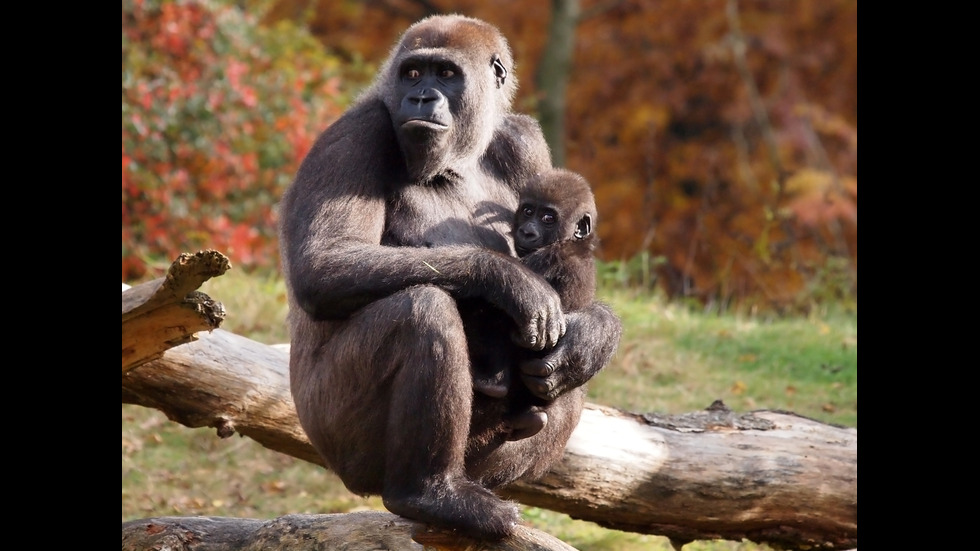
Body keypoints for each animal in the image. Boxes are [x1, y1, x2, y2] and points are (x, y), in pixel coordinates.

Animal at [470, 168, 600, 440]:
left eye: (548, 218)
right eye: (528, 211)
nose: (527, 232)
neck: (575, 242)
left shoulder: (547, 257)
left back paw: (493, 384)